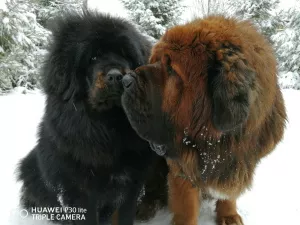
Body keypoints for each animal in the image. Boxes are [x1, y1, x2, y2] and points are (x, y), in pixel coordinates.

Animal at [17, 11, 168, 224]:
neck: (108, 129)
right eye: (93, 57)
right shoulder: (78, 190)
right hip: (30, 167)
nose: (116, 76)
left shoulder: (132, 185)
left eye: (126, 55)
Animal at [121, 16, 286, 225]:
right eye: (154, 61)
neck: (218, 145)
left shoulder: (237, 162)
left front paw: (228, 215)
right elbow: (187, 205)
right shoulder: (182, 165)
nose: (125, 80)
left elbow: (229, 193)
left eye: (171, 69)